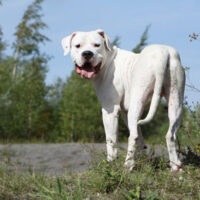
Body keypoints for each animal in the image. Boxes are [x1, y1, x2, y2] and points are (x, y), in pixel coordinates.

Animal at [61, 28, 185, 171]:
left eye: (97, 45)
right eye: (78, 46)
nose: (87, 53)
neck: (108, 61)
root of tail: (163, 53)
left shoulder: (110, 111)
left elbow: (111, 141)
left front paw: (110, 163)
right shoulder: (126, 112)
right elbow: (140, 138)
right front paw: (141, 158)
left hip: (137, 101)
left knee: (133, 136)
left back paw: (127, 166)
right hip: (175, 102)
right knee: (170, 135)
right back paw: (175, 166)